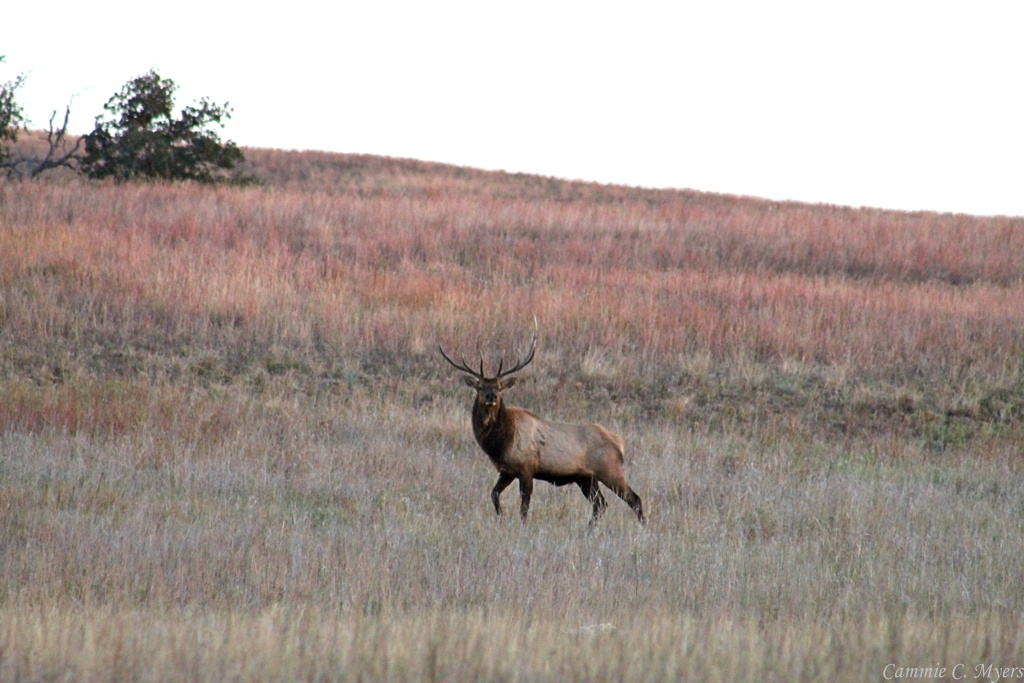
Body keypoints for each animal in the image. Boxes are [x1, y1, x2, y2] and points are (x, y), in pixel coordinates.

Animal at [436, 327, 643, 528]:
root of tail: (619, 443)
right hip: (586, 478)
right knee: (600, 504)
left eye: (500, 387)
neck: (501, 443)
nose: (491, 396)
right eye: (479, 387)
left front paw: (522, 527)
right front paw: (501, 518)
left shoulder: (526, 468)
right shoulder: (507, 471)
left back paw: (643, 528)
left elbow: (524, 506)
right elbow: (494, 494)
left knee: (634, 499)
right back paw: (589, 530)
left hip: (610, 470)